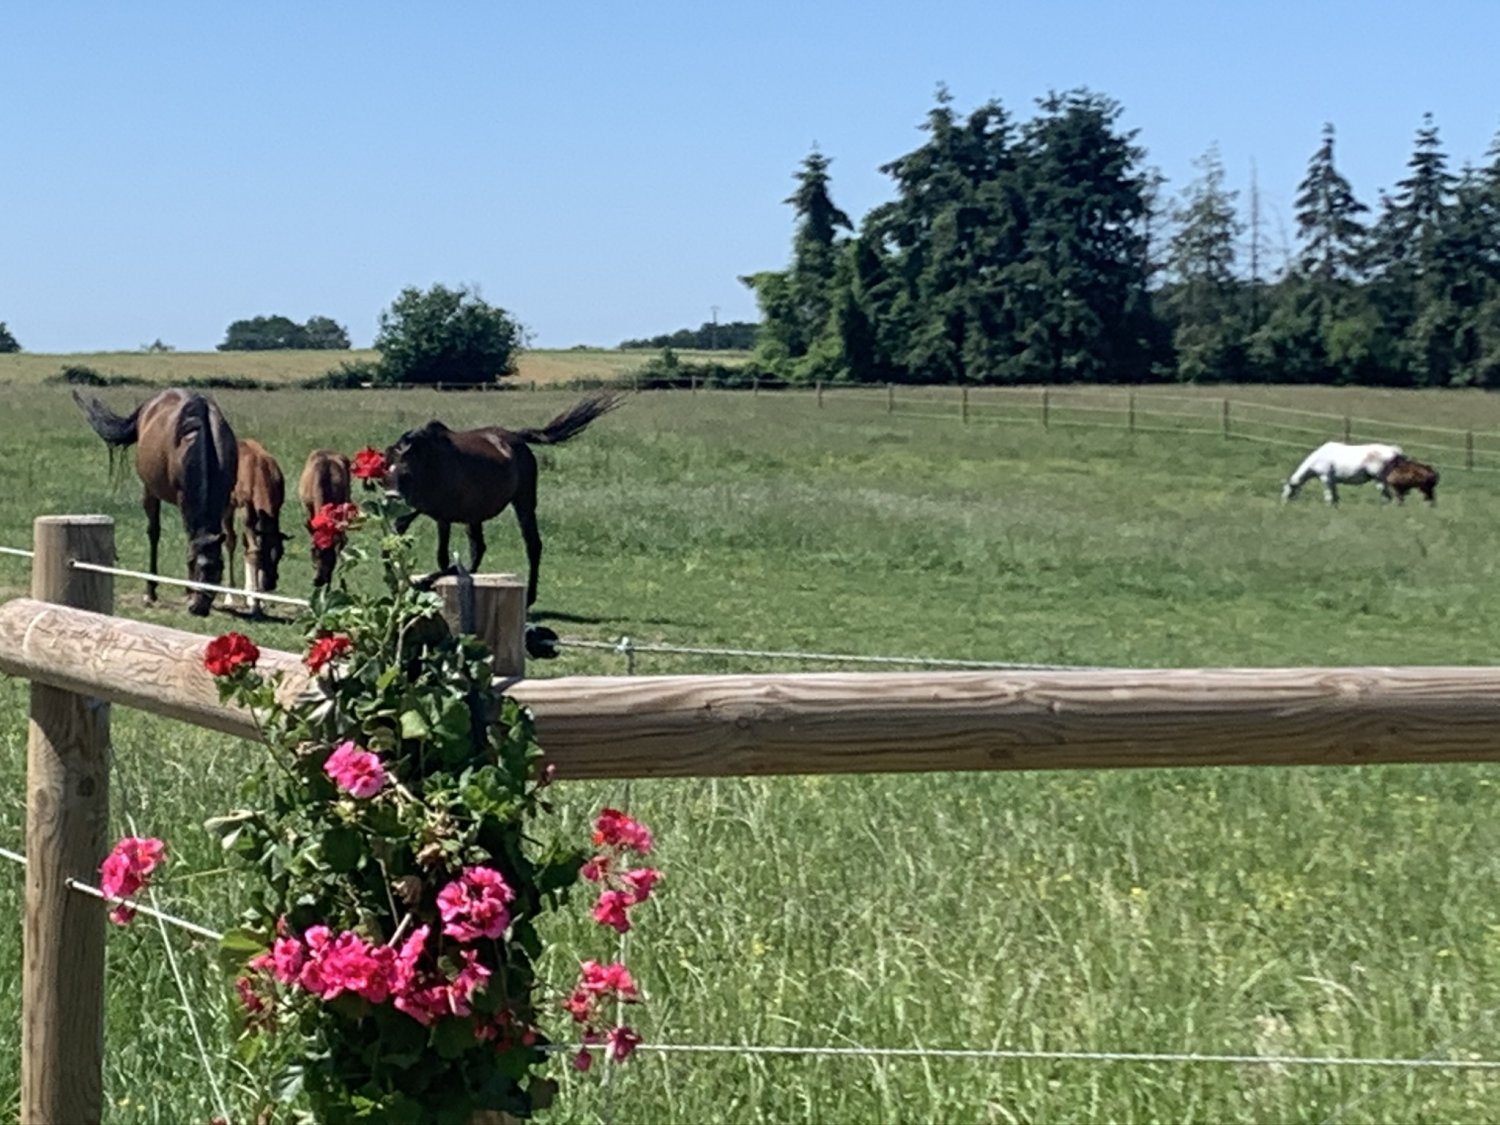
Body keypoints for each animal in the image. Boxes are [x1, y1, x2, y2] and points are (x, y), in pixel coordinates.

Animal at [73, 388, 238, 616]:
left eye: (219, 568)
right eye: (192, 563)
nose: (199, 608)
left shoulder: (225, 498)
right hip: (149, 490)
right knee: (154, 532)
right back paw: (150, 591)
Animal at [224, 438, 289, 614]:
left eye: (280, 554)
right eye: (265, 558)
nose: (270, 583)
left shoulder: (276, 508)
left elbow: (251, 549)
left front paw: (258, 601)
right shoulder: (245, 509)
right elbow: (254, 551)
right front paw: (255, 604)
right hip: (228, 505)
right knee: (230, 541)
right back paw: (229, 596)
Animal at [383, 392, 624, 606]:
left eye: (407, 473)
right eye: (386, 471)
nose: (393, 498)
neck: (431, 462)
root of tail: (515, 437)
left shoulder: (443, 515)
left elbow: (441, 555)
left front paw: (425, 580)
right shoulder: (420, 509)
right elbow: (396, 535)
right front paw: (395, 581)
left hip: (523, 503)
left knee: (532, 545)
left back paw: (529, 598)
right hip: (475, 514)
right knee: (478, 548)